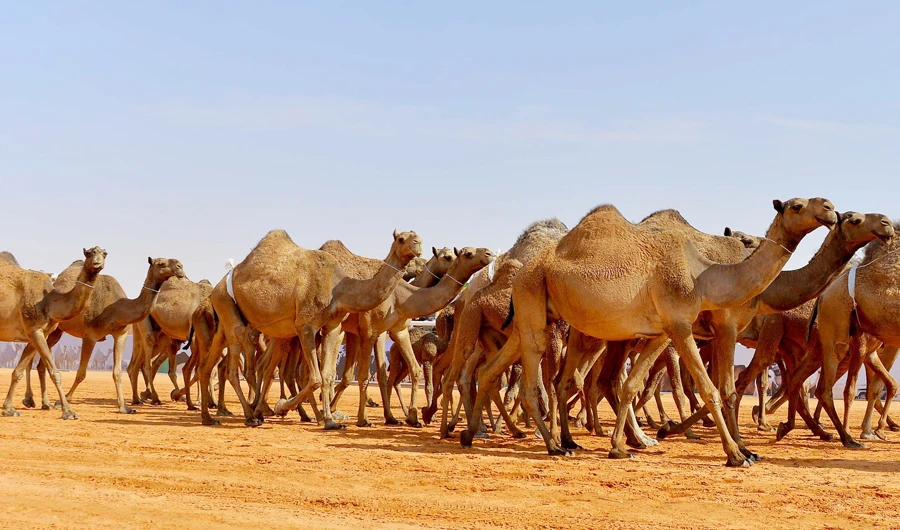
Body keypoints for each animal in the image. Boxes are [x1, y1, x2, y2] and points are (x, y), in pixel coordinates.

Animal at [1, 247, 106, 419]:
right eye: (90, 253)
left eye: (105, 254)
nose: (97, 263)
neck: (49, 301)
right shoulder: (35, 329)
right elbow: (55, 372)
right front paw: (68, 411)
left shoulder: (36, 333)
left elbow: (18, 371)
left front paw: (9, 409)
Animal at [21, 257, 184, 413]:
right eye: (161, 263)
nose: (180, 267)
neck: (116, 308)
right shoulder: (90, 335)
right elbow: (81, 373)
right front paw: (62, 401)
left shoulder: (120, 334)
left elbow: (117, 372)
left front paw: (124, 407)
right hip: (46, 325)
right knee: (32, 358)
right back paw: (30, 400)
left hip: (57, 331)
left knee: (40, 363)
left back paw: (44, 403)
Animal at [199, 229, 421, 428]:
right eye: (401, 239)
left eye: (416, 235)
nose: (418, 244)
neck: (338, 286)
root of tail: (218, 285)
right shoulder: (306, 326)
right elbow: (314, 377)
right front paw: (283, 406)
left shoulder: (333, 326)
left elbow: (327, 374)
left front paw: (330, 420)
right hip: (227, 307)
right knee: (234, 367)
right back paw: (251, 415)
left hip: (228, 320)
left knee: (209, 365)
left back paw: (211, 417)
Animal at [462, 199, 836, 467]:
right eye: (797, 205)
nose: (831, 209)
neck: (705, 274)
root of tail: (525, 267)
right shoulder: (689, 325)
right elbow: (713, 388)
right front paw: (737, 454)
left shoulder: (662, 331)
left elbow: (632, 384)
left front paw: (620, 447)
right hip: (534, 297)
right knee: (534, 377)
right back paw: (554, 445)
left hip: (535, 312)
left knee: (498, 368)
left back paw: (474, 434)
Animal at [777, 220, 900, 447]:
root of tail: (823, 296)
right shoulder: (866, 346)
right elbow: (857, 389)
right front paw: (872, 431)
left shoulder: (873, 349)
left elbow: (885, 385)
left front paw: (876, 430)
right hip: (837, 337)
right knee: (825, 388)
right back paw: (847, 437)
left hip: (824, 343)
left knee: (798, 378)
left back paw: (789, 427)